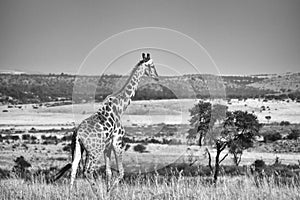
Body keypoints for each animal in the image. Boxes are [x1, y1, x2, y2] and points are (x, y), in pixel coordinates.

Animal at [53, 52, 159, 193]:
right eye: (151, 65)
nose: (157, 76)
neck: (120, 107)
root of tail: (78, 135)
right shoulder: (117, 141)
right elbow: (121, 172)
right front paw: (110, 192)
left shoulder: (107, 146)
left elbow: (108, 171)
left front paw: (109, 191)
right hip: (94, 151)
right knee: (87, 171)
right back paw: (98, 193)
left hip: (78, 149)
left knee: (74, 167)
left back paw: (71, 194)